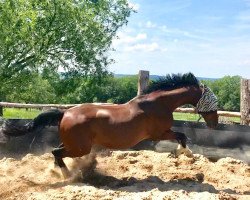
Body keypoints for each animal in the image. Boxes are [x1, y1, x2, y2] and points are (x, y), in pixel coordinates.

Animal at [0, 72, 218, 178]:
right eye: (213, 101)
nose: (215, 124)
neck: (158, 104)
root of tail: (65, 113)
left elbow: (182, 136)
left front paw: (183, 154)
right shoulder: (159, 133)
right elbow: (182, 136)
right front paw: (185, 154)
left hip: (75, 144)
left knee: (56, 152)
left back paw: (57, 171)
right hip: (80, 147)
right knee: (56, 152)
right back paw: (67, 175)